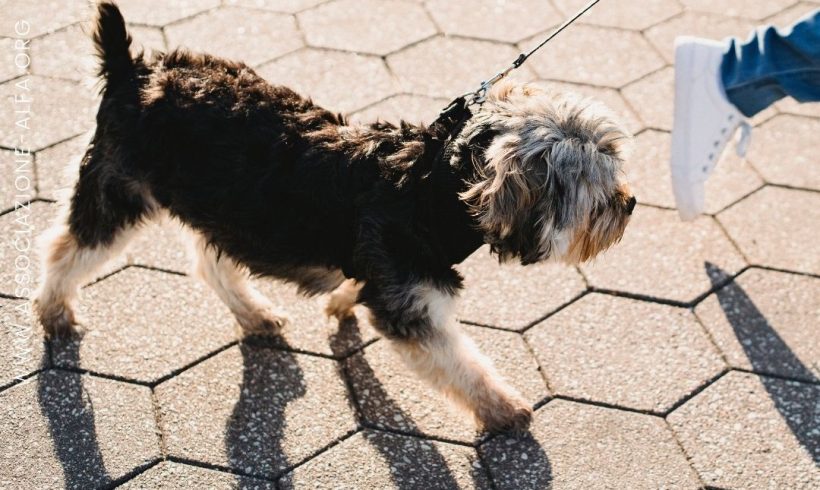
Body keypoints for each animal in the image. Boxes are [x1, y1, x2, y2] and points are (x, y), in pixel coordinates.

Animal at [33, 2, 636, 432]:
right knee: (68, 246)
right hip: (119, 191)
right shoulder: (411, 307)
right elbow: (461, 363)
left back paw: (253, 312)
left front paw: (342, 300)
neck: (433, 188)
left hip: (226, 206)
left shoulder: (385, 273)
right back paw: (55, 311)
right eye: (592, 191)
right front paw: (503, 408)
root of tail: (131, 70)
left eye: (613, 159)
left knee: (210, 259)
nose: (628, 204)